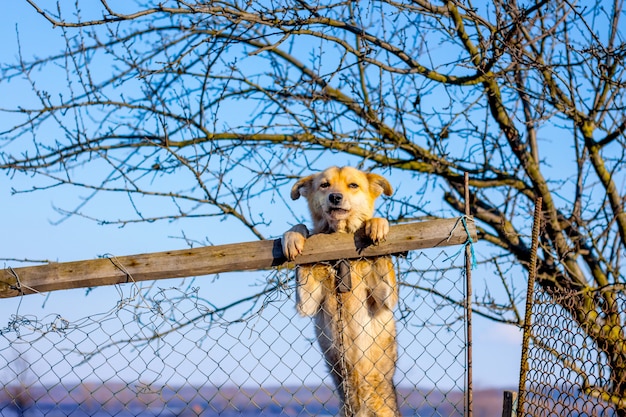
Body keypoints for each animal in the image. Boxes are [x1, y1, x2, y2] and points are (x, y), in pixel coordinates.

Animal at [280, 166, 398, 416]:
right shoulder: (307, 301)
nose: (335, 197)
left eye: (353, 185)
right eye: (325, 185)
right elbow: (301, 232)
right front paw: (294, 235)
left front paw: (377, 224)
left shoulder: (385, 296)